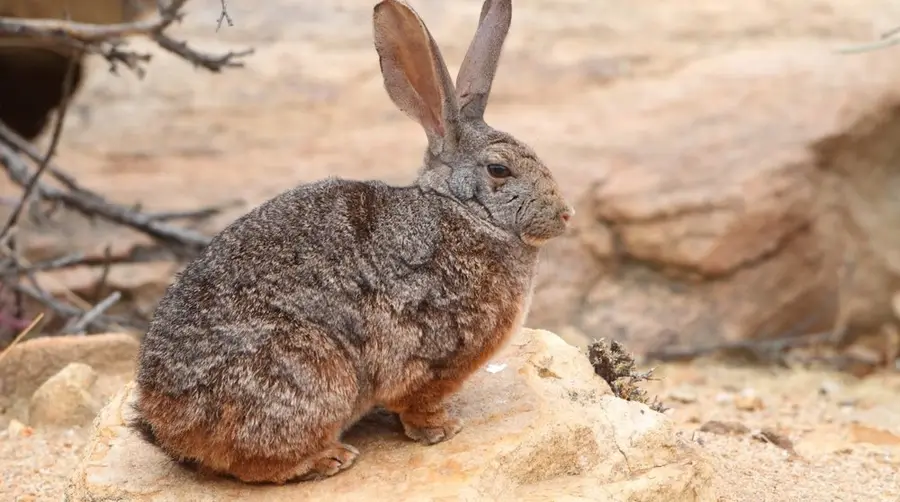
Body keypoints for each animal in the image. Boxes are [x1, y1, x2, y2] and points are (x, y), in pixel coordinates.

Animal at [132, 0, 574, 485]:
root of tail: (166, 423)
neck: (463, 210)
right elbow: (416, 402)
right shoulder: (432, 356)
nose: (565, 215)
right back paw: (329, 458)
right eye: (499, 170)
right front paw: (440, 429)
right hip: (313, 374)